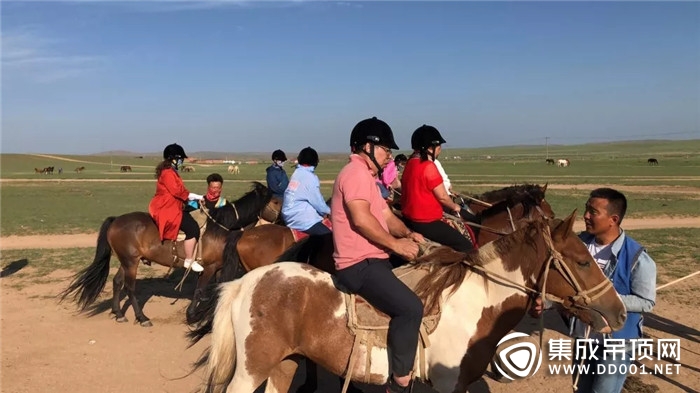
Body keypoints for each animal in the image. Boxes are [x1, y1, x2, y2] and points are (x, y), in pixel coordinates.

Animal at [59, 181, 278, 324]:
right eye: (276, 201)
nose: (284, 217)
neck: (221, 226)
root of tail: (117, 220)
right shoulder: (209, 267)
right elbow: (199, 290)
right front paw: (191, 316)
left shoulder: (218, 268)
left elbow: (214, 291)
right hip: (131, 262)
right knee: (130, 287)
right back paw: (142, 317)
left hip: (126, 260)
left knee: (117, 282)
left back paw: (119, 314)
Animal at [189, 211, 628, 392]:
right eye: (583, 260)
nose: (620, 311)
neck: (475, 303)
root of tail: (244, 284)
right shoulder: (448, 384)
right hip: (251, 370)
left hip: (285, 364)